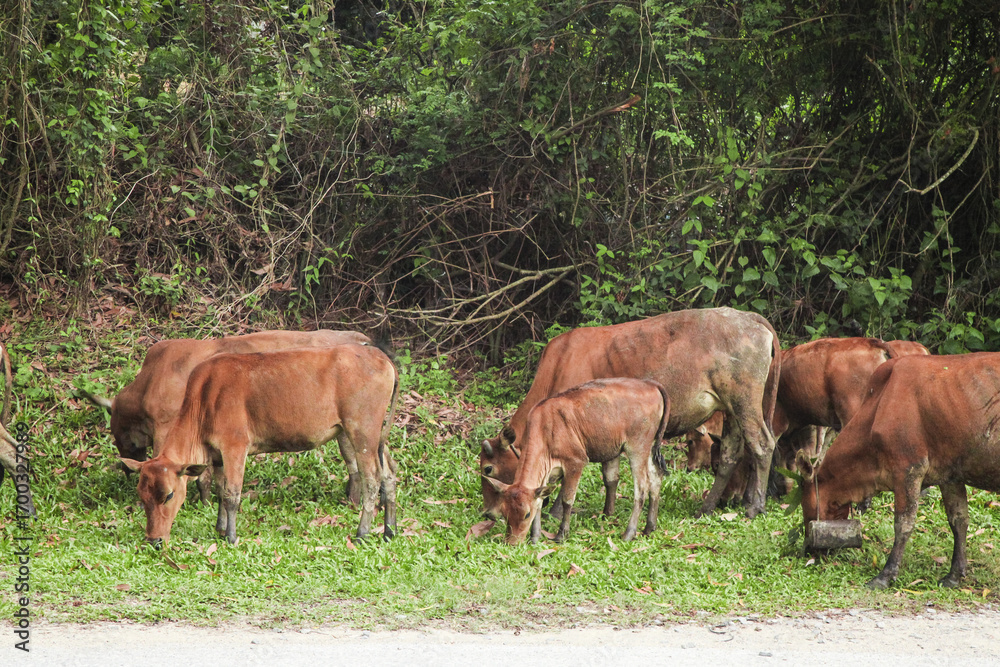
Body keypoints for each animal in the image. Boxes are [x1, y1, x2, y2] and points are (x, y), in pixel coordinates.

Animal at [85, 329, 372, 504]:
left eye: (117, 434)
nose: (126, 468)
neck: (151, 381)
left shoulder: (169, 431)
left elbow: (198, 475)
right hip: (348, 428)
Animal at [121, 344, 399, 546]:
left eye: (168, 495)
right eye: (142, 496)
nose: (154, 540)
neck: (204, 399)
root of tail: (381, 357)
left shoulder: (235, 446)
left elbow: (232, 494)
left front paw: (231, 537)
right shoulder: (218, 454)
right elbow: (221, 489)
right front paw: (220, 528)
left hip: (361, 432)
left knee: (372, 478)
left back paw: (362, 533)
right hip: (375, 437)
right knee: (389, 474)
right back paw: (389, 530)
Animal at [481, 307, 781, 520]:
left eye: (488, 468)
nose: (489, 514)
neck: (559, 364)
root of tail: (750, 317)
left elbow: (568, 473)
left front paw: (555, 511)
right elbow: (608, 472)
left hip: (744, 400)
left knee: (762, 445)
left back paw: (755, 506)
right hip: (731, 408)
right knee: (731, 454)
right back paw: (707, 508)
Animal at [483, 378, 671, 544]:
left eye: (526, 514)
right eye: (505, 513)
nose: (512, 542)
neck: (545, 429)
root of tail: (651, 384)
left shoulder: (576, 462)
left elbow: (567, 500)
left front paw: (561, 535)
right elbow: (540, 501)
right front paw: (535, 537)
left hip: (637, 448)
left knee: (642, 489)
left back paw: (629, 533)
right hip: (649, 448)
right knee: (656, 478)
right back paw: (649, 527)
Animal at [800, 352, 1000, 589]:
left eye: (805, 506)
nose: (807, 550)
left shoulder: (909, 468)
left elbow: (903, 524)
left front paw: (885, 575)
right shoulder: (950, 474)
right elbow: (958, 520)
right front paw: (954, 575)